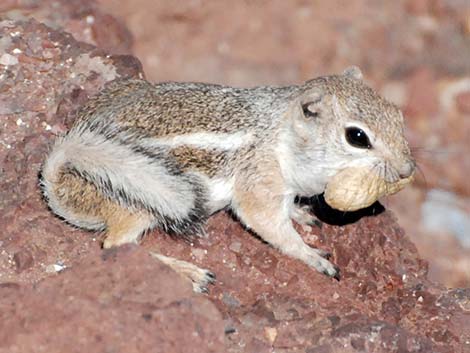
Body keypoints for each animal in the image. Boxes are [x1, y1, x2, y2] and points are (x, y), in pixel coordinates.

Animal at [40, 66, 414, 292]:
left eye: (398, 115)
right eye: (357, 137)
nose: (408, 170)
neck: (284, 134)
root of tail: (58, 181)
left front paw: (301, 214)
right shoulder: (259, 187)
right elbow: (275, 230)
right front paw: (313, 256)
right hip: (138, 200)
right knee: (117, 246)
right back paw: (190, 273)